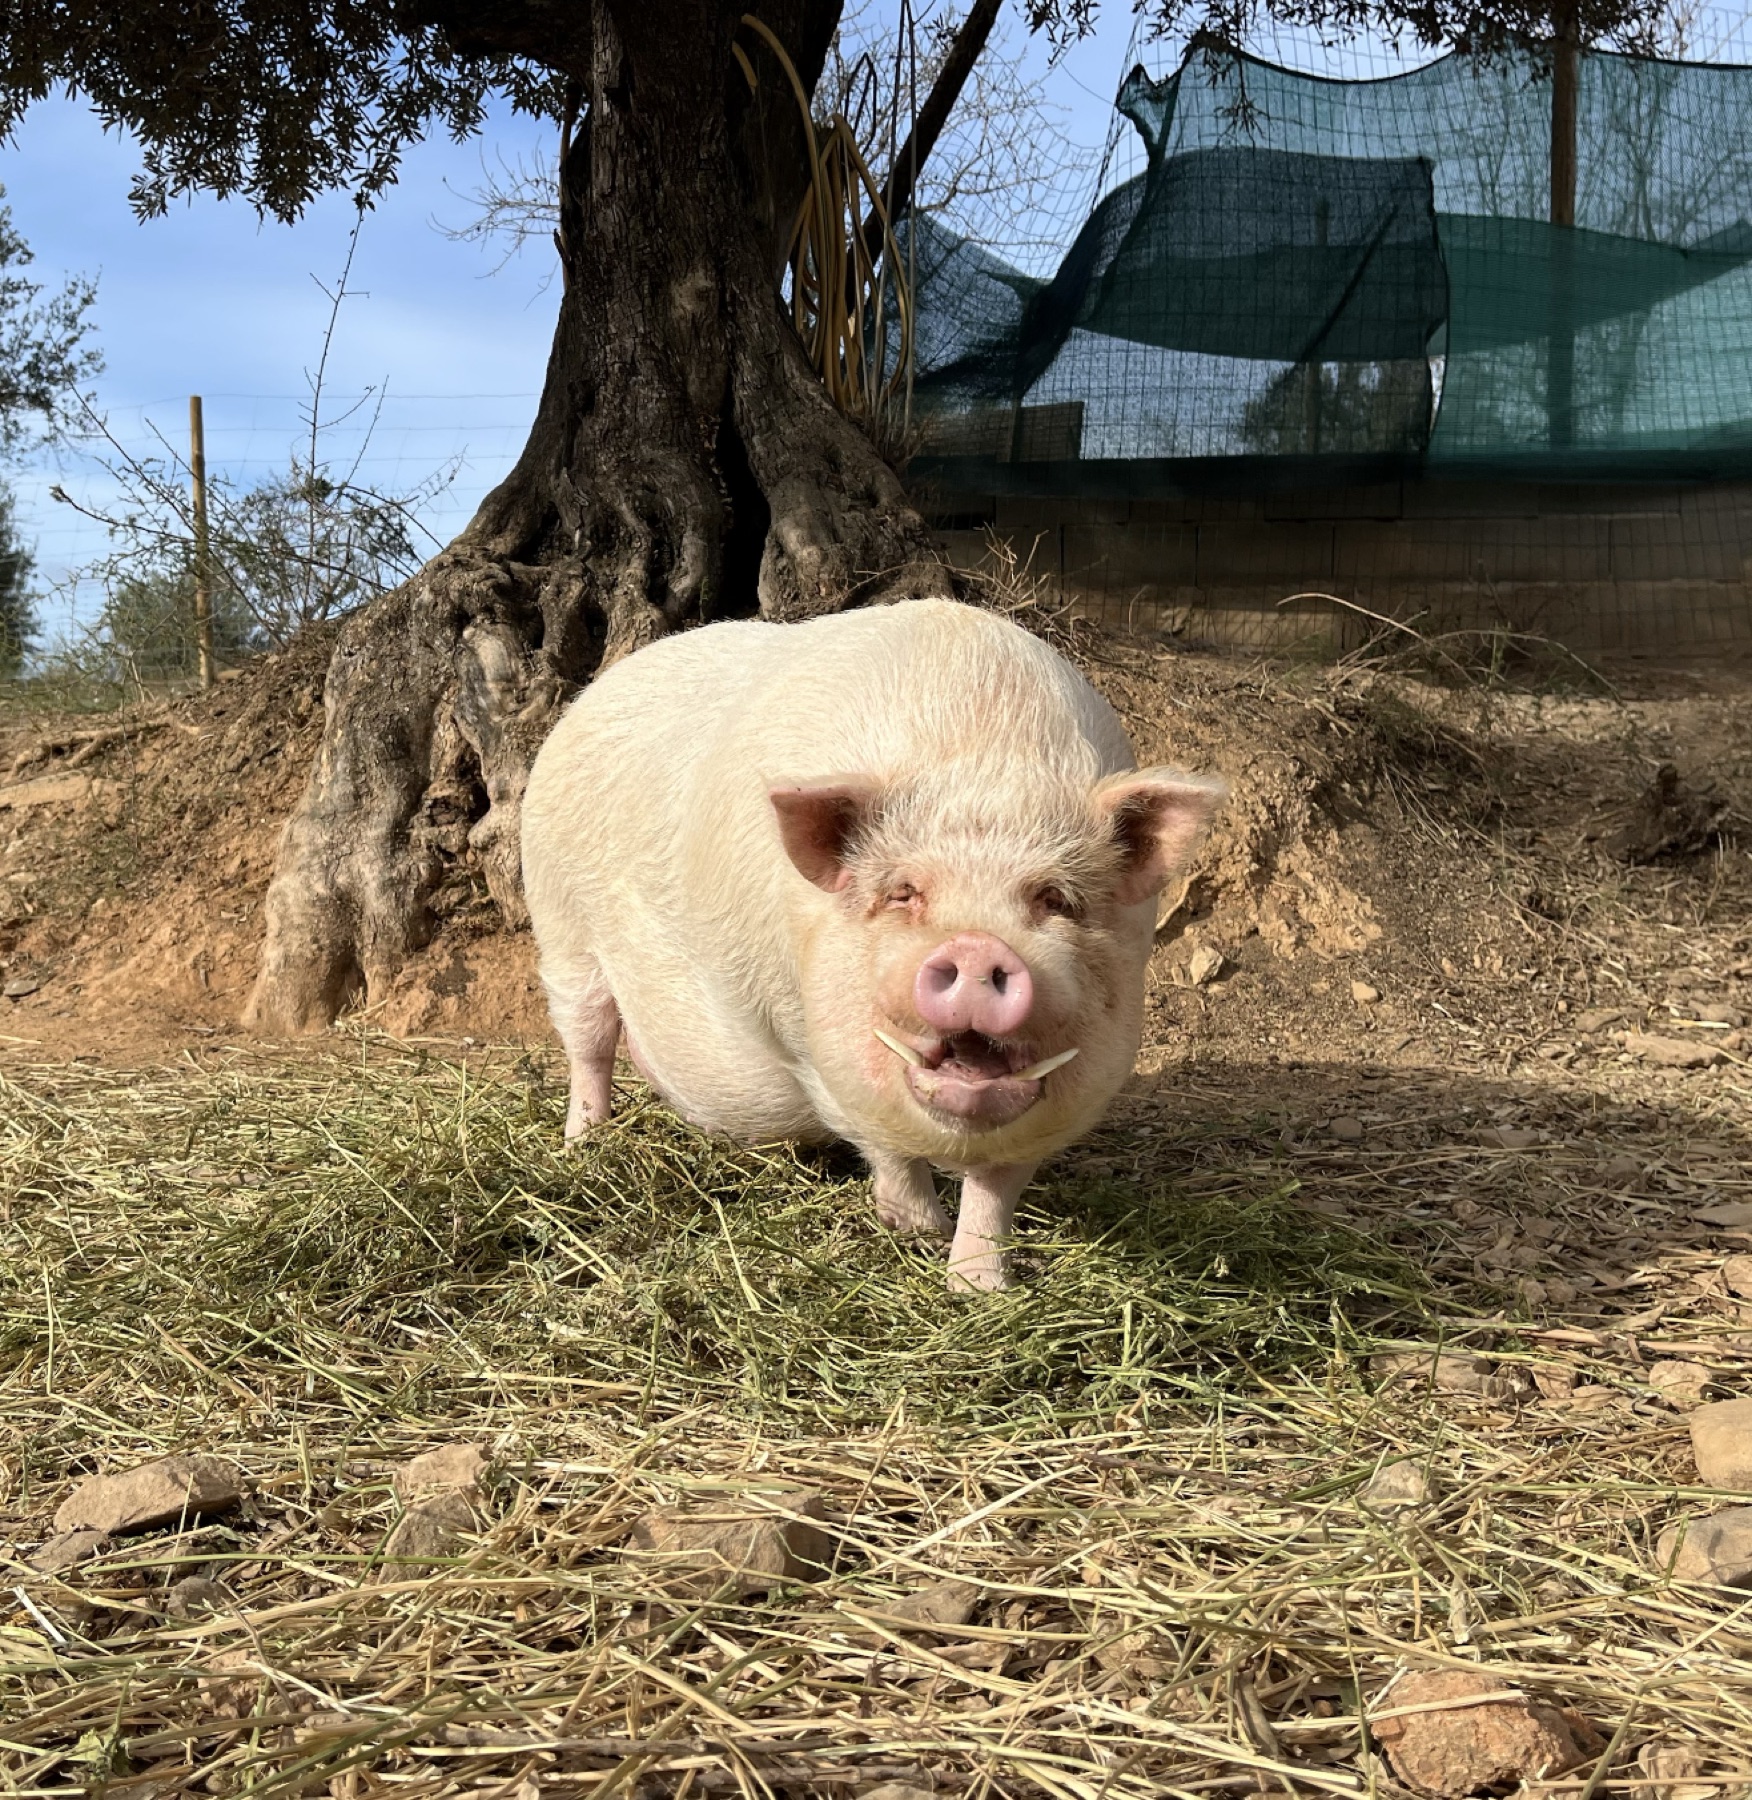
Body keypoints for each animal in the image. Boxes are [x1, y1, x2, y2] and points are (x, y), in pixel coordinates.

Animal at [520, 597, 1224, 1291]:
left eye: (1054, 899)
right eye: (903, 892)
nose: (977, 947)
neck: (981, 753)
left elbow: (996, 1187)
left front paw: (980, 1287)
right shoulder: (811, 1042)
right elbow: (887, 1146)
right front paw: (918, 1231)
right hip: (560, 924)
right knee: (588, 1043)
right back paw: (583, 1143)